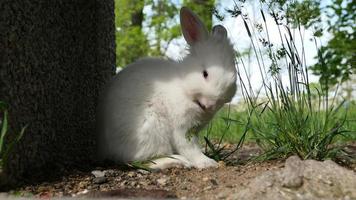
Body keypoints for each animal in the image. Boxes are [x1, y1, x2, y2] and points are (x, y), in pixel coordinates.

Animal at [98, 7, 236, 170]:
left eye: (234, 73)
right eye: (205, 74)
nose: (211, 105)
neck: (185, 88)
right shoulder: (182, 128)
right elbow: (188, 147)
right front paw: (207, 163)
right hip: (152, 130)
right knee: (141, 161)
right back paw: (177, 161)